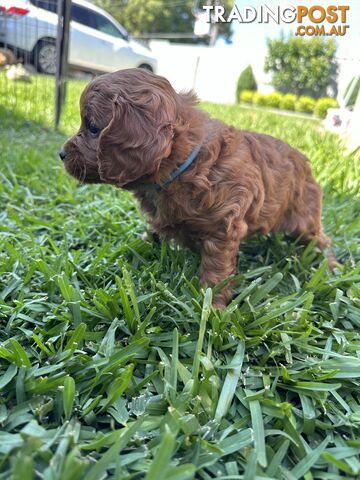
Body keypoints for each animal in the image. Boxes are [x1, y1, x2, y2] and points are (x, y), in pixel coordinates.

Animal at [59, 66, 334, 308]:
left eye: (93, 127)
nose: (61, 154)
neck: (184, 163)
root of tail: (306, 164)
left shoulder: (223, 226)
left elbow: (216, 269)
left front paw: (212, 307)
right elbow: (151, 234)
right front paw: (129, 251)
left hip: (304, 221)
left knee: (322, 240)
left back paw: (331, 267)